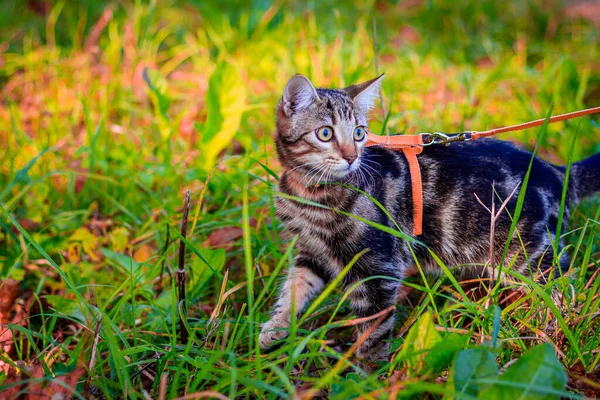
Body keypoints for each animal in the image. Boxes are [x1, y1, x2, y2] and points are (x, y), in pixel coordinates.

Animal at [258, 72, 600, 360]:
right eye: (326, 133)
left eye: (358, 133)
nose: (352, 157)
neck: (309, 193)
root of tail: (556, 171)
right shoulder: (311, 252)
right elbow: (294, 287)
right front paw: (275, 327)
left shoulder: (377, 266)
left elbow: (374, 328)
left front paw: (369, 374)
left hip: (533, 258)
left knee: (567, 289)